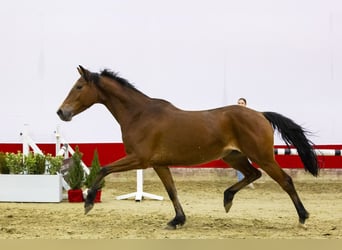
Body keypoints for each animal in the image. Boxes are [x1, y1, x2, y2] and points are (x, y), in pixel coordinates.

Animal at [57, 65, 320, 229]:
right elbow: (172, 191)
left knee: (285, 180)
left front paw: (88, 202)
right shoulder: (159, 164)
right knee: (253, 174)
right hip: (234, 157)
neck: (139, 114)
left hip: (263, 156)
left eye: (79, 86)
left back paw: (303, 217)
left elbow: (103, 169)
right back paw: (227, 199)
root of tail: (261, 115)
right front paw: (177, 220)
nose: (61, 112)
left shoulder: (139, 159)